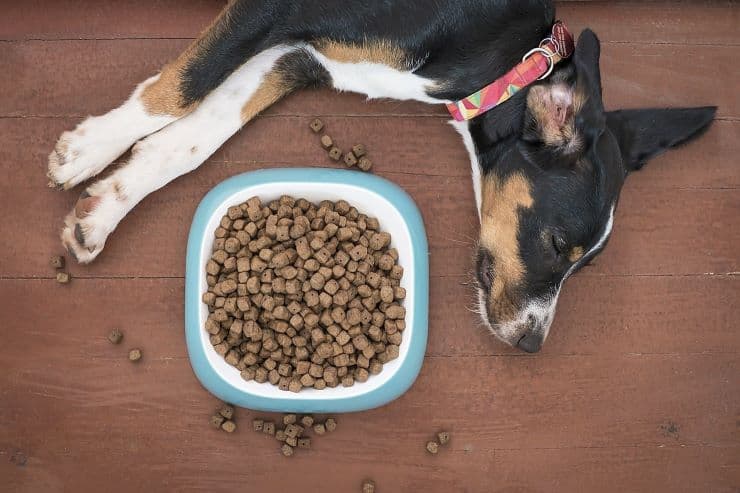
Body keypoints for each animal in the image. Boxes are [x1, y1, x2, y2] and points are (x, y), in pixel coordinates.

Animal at [47, 0, 716, 354]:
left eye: (587, 265)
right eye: (556, 245)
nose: (531, 344)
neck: (506, 56)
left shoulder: (299, 56)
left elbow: (193, 136)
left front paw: (105, 207)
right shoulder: (274, 11)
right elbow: (181, 88)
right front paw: (86, 150)